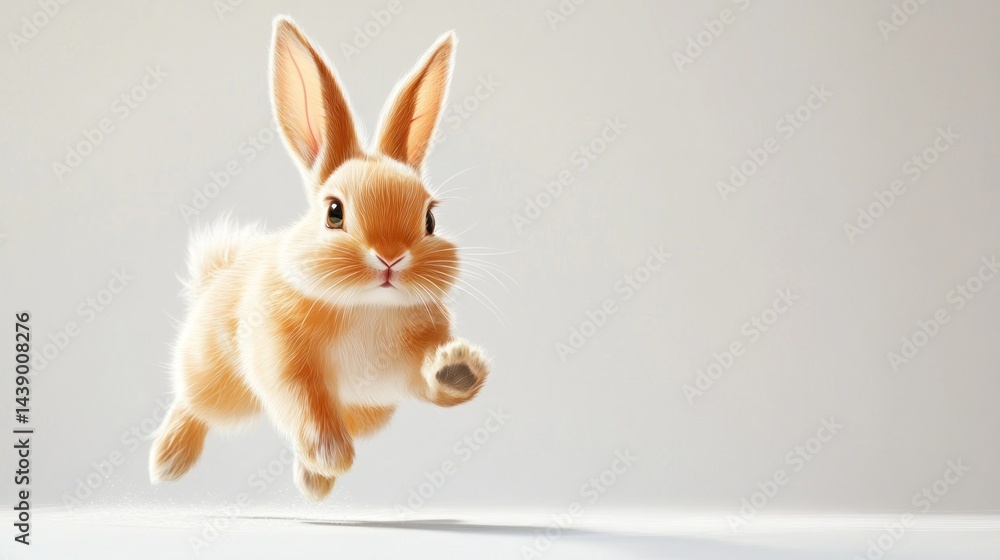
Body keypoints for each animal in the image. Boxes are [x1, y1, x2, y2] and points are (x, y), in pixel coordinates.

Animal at [149, 16, 490, 501]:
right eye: (334, 212)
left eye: (429, 220)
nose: (390, 259)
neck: (368, 307)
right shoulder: (281, 356)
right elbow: (304, 400)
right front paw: (332, 454)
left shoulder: (400, 374)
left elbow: (428, 382)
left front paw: (458, 372)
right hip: (213, 380)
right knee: (193, 406)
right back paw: (167, 462)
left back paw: (313, 484)